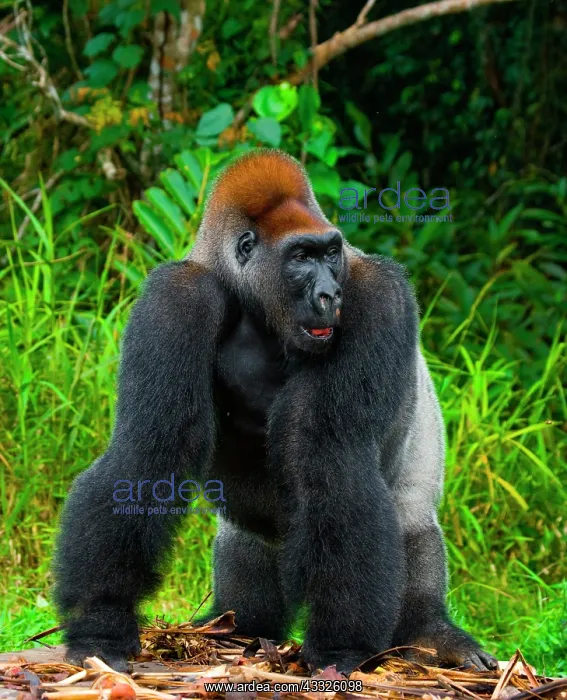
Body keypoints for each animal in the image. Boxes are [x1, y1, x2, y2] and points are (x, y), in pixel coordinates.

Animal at [52, 149, 498, 675]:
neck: (255, 303)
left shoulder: (377, 293)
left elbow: (330, 455)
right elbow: (150, 446)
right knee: (247, 549)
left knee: (411, 516)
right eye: (301, 258)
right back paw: (234, 626)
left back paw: (431, 632)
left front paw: (341, 646)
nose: (330, 295)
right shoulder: (176, 296)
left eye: (330, 254)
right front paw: (100, 621)